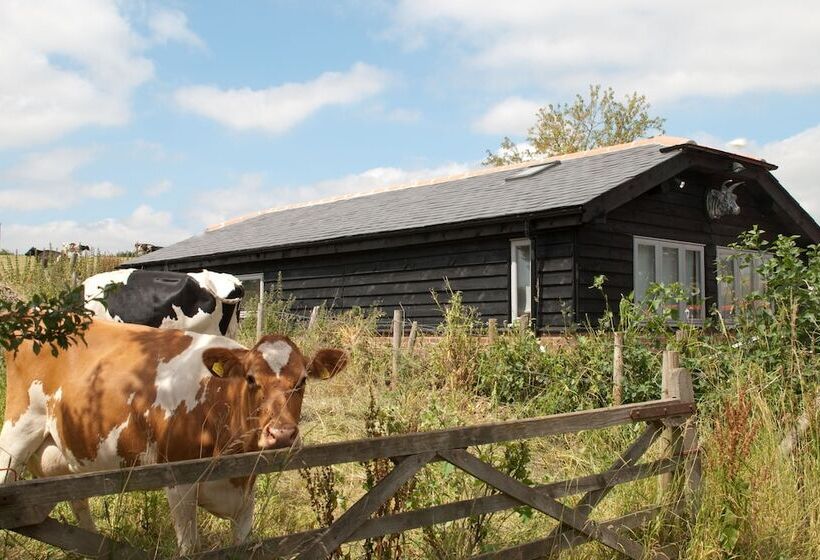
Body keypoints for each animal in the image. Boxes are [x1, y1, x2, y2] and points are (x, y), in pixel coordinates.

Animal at [0, 320, 347, 553]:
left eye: (302, 380)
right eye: (251, 379)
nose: (282, 434)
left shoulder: (247, 489)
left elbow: (243, 543)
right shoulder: (179, 481)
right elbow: (191, 548)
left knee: (78, 499)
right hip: (16, 435)